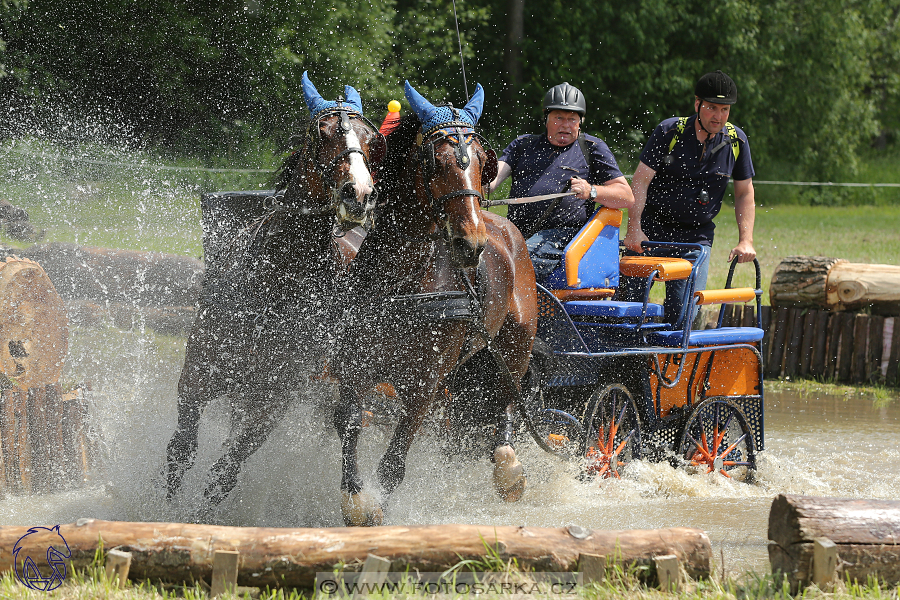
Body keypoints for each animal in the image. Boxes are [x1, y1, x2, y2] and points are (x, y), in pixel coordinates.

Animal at [165, 74, 384, 516]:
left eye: (371, 140)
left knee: (349, 421)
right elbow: (182, 449)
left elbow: (225, 472)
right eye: (321, 135)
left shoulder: (272, 398)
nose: (359, 194)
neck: (279, 281)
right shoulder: (199, 374)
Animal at [334, 81, 536, 524]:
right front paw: (356, 500)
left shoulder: (423, 385)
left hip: (517, 340)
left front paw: (377, 506)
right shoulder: (355, 364)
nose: (471, 244)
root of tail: (504, 226)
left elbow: (395, 460)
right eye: (436, 162)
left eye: (482, 163)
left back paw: (508, 467)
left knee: (509, 399)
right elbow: (349, 423)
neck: (400, 282)